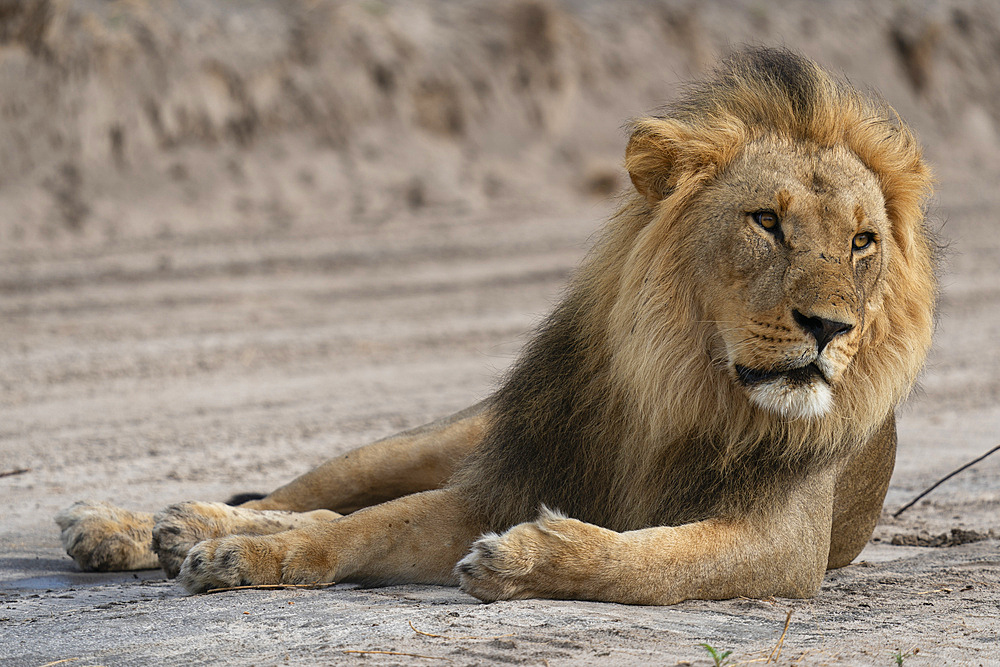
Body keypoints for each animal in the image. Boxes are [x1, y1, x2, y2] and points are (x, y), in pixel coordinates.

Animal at [54, 49, 936, 604]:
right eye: (766, 222)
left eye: (862, 242)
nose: (830, 327)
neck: (682, 387)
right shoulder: (500, 477)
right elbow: (358, 526)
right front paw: (242, 553)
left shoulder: (785, 545)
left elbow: (650, 562)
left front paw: (524, 557)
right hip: (443, 437)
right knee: (307, 494)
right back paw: (134, 526)